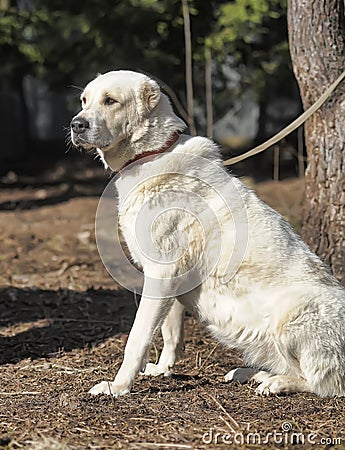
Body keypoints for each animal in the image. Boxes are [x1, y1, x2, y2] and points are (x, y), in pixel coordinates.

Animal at [70, 70, 344, 398]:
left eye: (110, 101)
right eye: (84, 100)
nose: (76, 124)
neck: (151, 154)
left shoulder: (161, 272)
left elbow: (138, 337)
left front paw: (119, 386)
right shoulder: (168, 278)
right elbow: (170, 331)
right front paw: (163, 369)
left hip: (293, 311)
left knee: (325, 382)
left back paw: (277, 383)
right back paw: (253, 374)